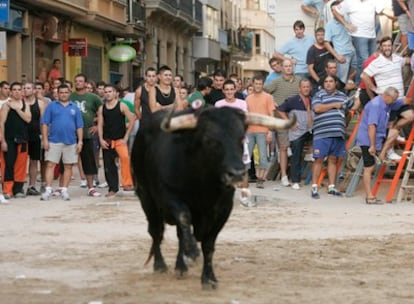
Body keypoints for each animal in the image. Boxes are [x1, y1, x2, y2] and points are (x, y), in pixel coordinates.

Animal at [131, 107, 296, 290]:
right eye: (210, 140)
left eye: (241, 138)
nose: (237, 173)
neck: (204, 184)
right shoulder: (170, 197)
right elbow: (184, 217)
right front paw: (192, 251)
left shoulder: (223, 210)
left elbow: (208, 245)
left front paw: (209, 278)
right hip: (146, 198)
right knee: (156, 231)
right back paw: (160, 265)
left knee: (178, 234)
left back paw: (181, 267)